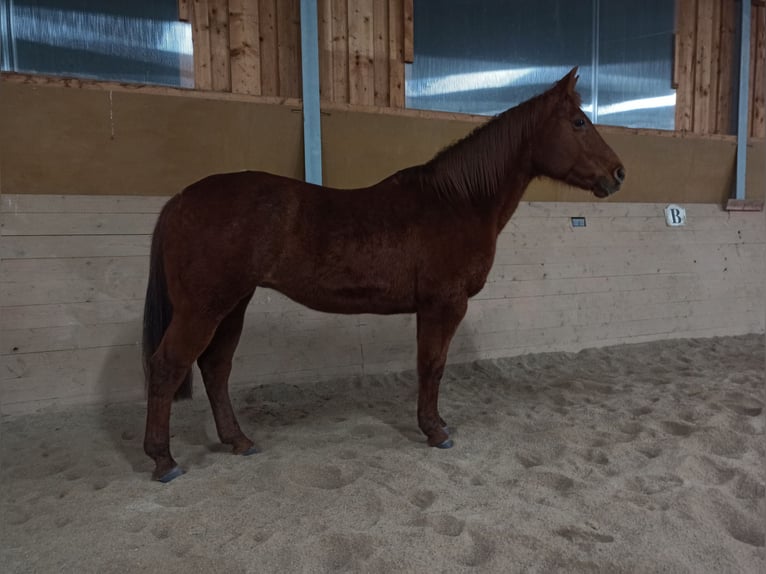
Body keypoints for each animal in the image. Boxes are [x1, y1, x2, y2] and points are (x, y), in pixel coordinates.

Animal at [142, 66, 624, 482]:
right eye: (579, 122)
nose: (618, 173)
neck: (458, 201)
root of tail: (180, 199)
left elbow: (432, 366)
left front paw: (437, 422)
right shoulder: (443, 304)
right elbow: (432, 365)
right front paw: (435, 431)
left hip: (233, 305)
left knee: (215, 368)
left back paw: (238, 441)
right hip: (204, 308)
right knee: (167, 367)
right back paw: (164, 460)